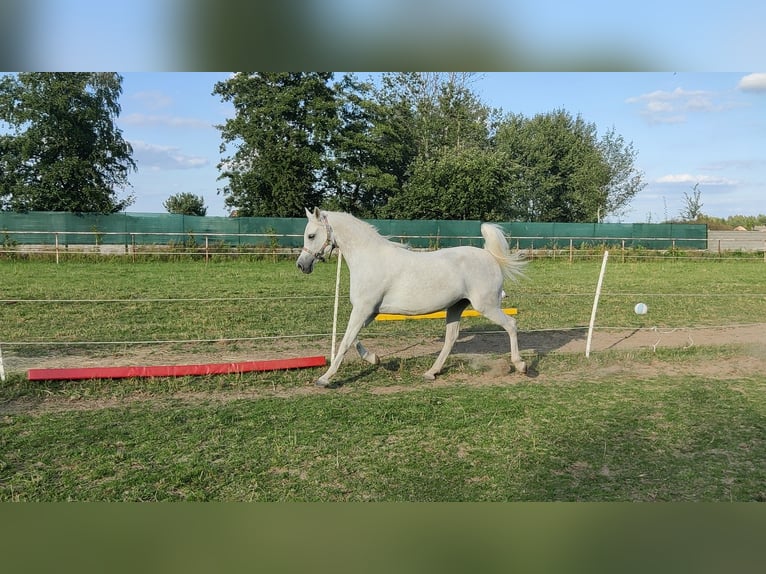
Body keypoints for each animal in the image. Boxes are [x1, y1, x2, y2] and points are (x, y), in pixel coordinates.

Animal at [296, 207, 527, 387]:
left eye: (311, 235)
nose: (301, 265)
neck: (370, 259)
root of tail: (490, 256)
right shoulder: (369, 312)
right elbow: (353, 339)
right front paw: (375, 359)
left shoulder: (363, 309)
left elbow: (345, 342)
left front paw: (324, 379)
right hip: (456, 307)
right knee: (451, 338)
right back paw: (431, 372)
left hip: (486, 306)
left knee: (511, 324)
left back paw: (521, 365)